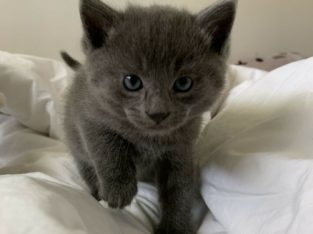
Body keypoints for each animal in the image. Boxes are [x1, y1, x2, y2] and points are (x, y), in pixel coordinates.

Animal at [62, 0, 235, 233]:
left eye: (184, 83)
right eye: (131, 81)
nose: (157, 112)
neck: (150, 138)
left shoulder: (181, 149)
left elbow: (179, 188)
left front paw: (176, 227)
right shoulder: (89, 114)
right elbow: (107, 146)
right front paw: (118, 191)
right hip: (75, 143)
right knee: (85, 164)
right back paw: (96, 193)